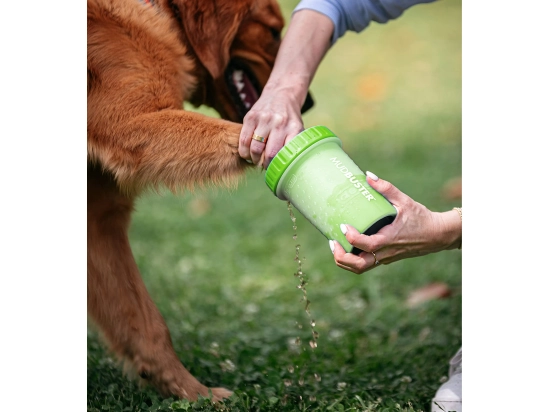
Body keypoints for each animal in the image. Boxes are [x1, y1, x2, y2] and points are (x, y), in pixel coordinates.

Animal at [88, 0, 314, 402]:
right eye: (273, 32)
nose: (309, 101)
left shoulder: (99, 219)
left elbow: (144, 322)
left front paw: (189, 392)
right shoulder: (128, 124)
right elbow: (238, 134)